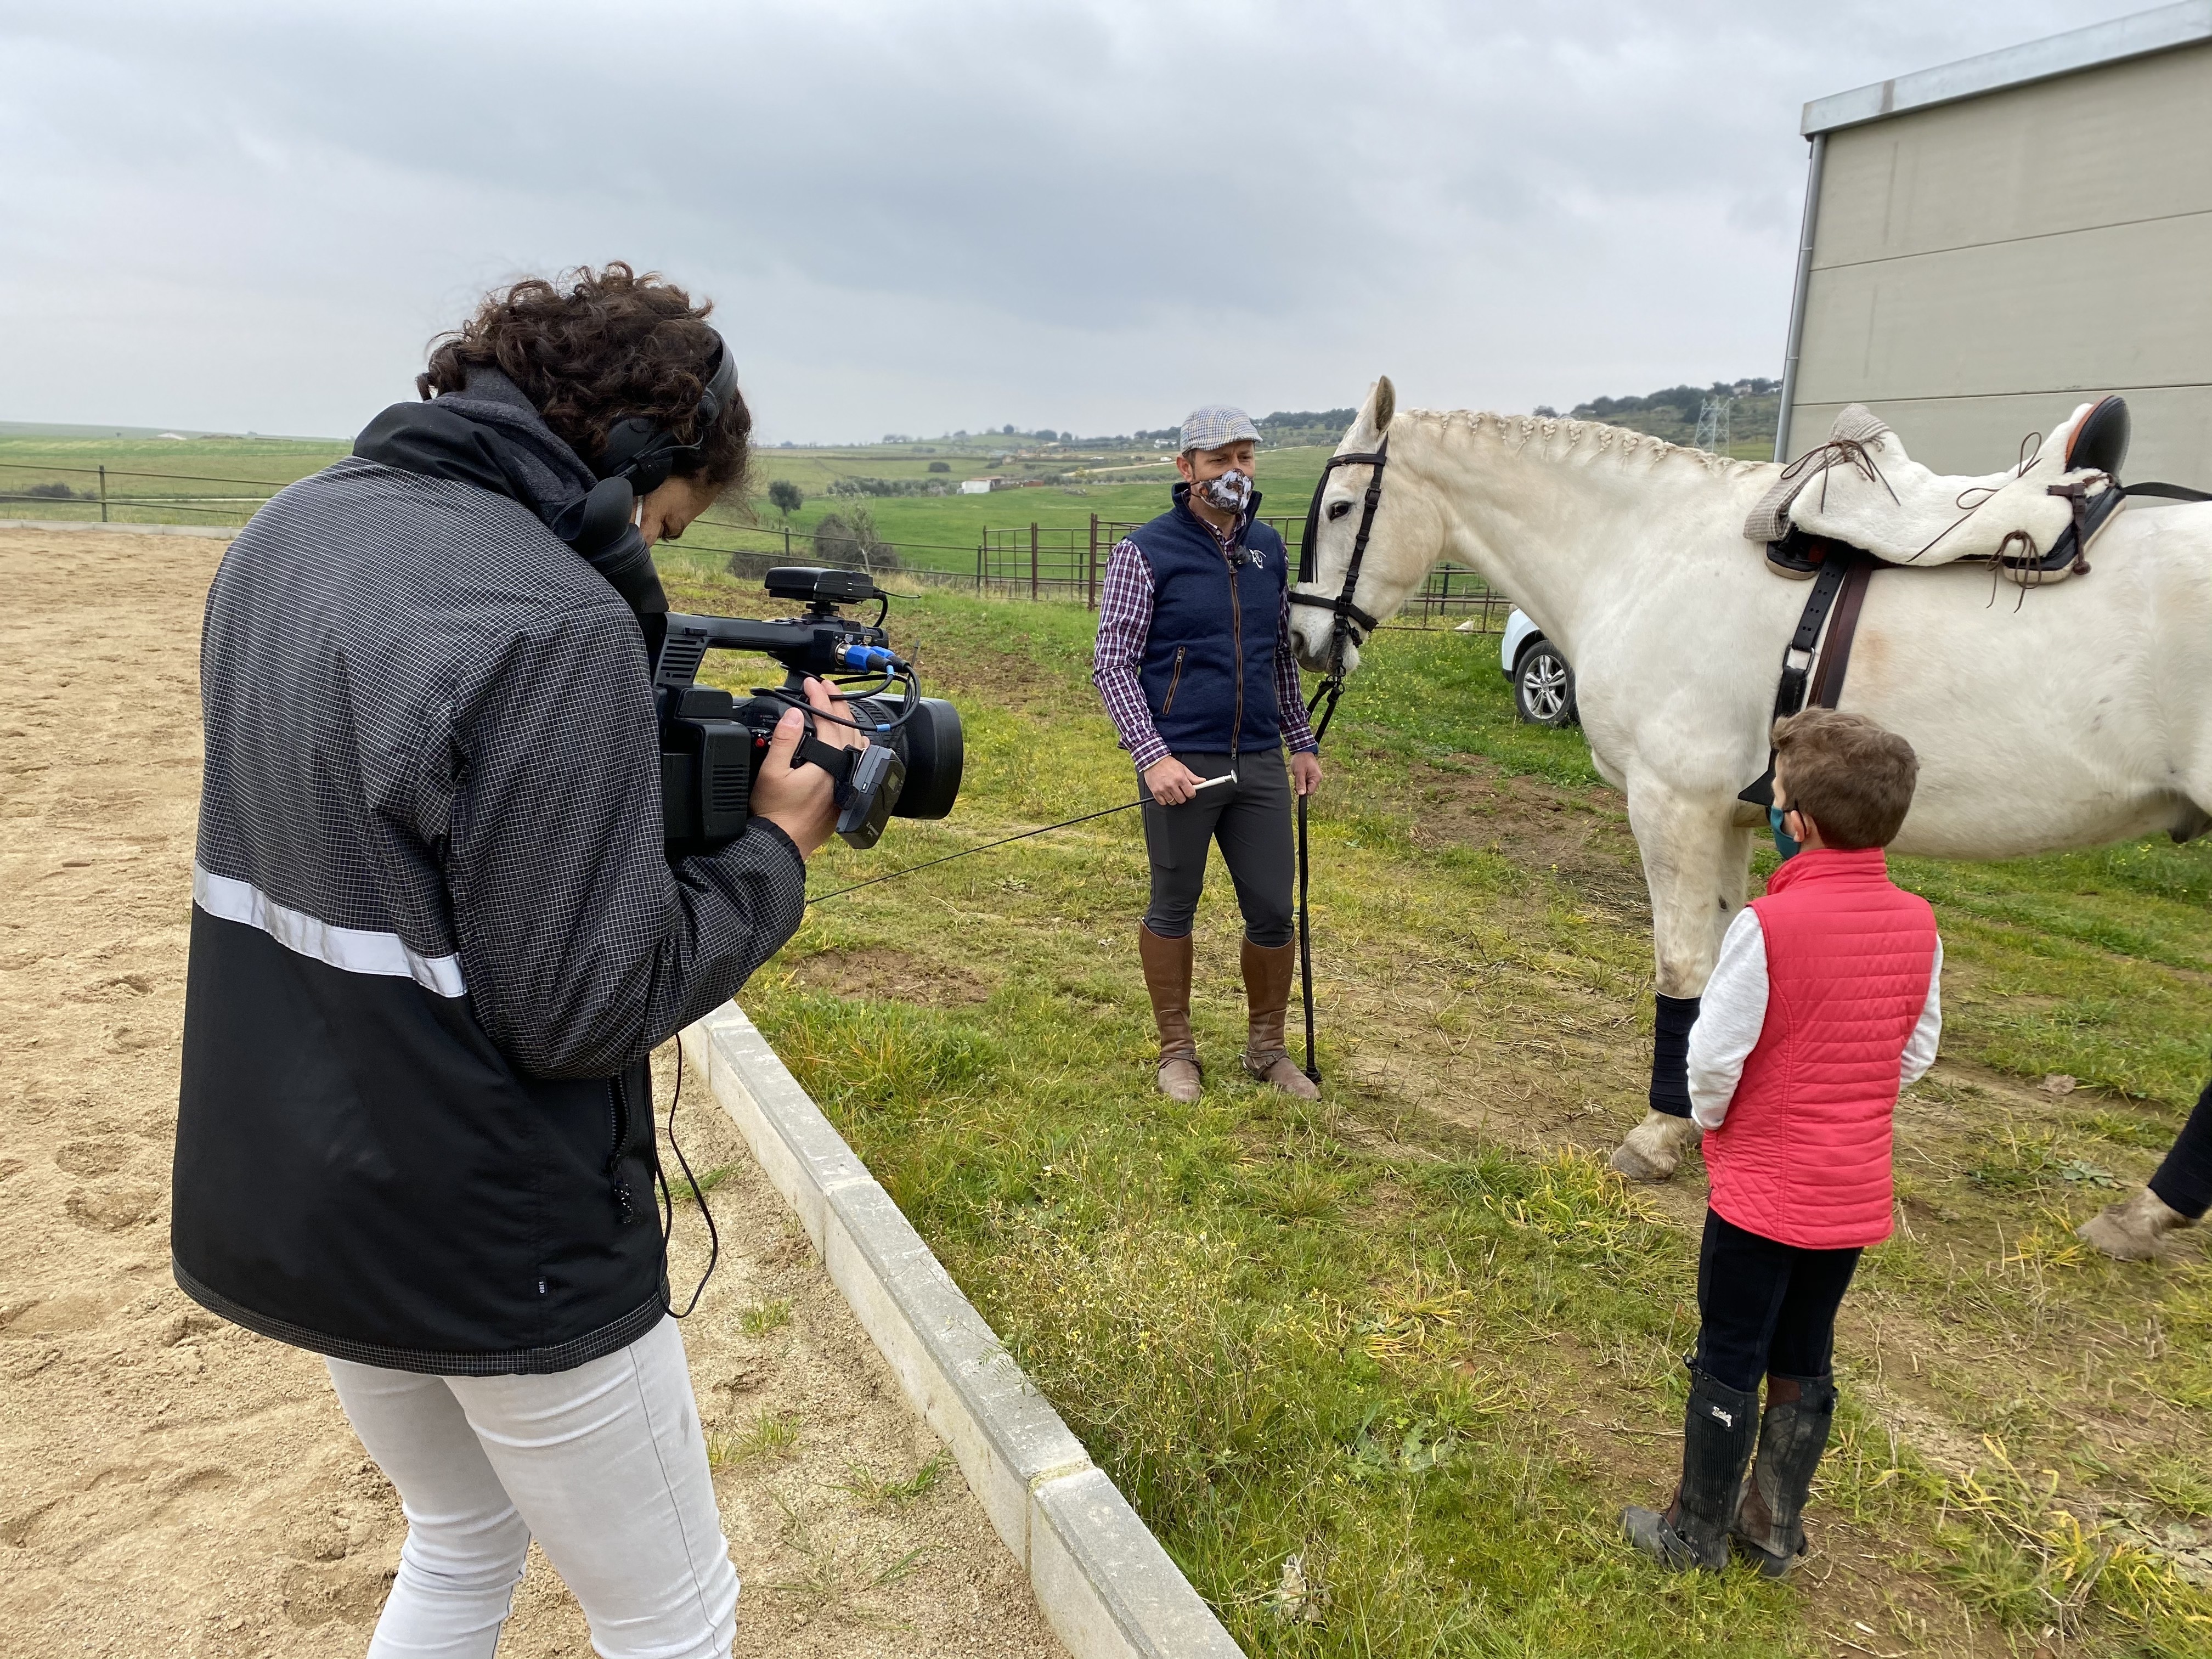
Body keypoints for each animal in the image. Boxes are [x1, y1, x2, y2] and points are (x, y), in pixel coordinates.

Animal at [1291, 380, 2212, 1186]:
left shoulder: (1674, 805)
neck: (1644, 550)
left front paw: (1662, 1134)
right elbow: (1720, 972)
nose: (1301, 637)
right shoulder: (1728, 818)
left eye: (1339, 510)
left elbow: (1683, 966)